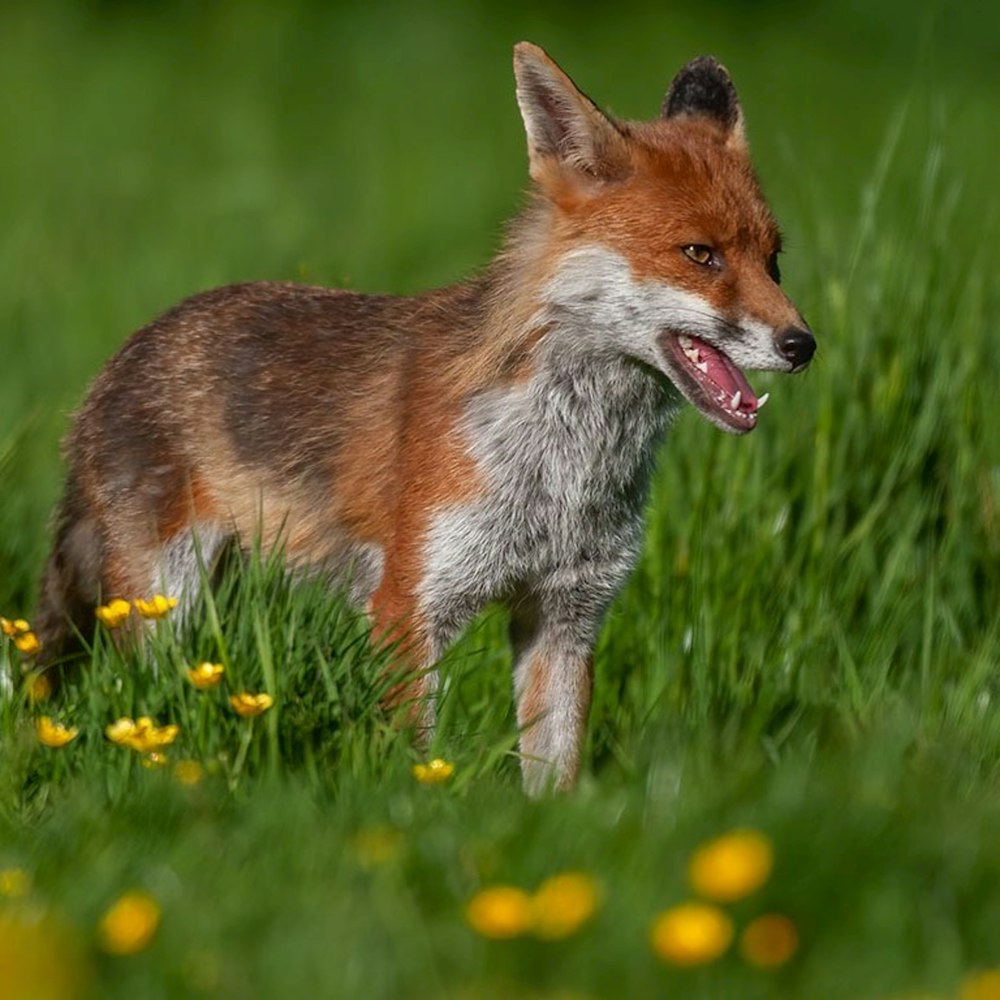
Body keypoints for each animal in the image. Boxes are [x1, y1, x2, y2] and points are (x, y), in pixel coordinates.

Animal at [37, 43, 812, 792]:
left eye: (774, 261)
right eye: (700, 255)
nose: (803, 345)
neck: (563, 470)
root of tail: (117, 360)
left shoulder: (566, 611)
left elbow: (553, 778)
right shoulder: (409, 605)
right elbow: (414, 761)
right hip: (162, 601)